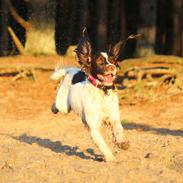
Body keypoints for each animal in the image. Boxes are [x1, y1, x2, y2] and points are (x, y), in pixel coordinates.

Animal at [50, 29, 129, 162]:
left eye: (113, 61)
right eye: (100, 62)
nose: (112, 67)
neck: (102, 92)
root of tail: (71, 70)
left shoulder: (113, 117)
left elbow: (118, 130)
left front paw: (122, 143)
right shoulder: (93, 126)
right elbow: (102, 143)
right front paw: (109, 157)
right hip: (63, 106)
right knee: (56, 104)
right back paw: (53, 108)